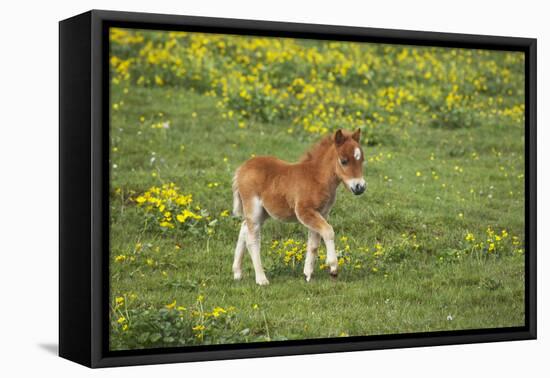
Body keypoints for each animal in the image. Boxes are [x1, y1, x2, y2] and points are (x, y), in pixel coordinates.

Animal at [232, 128, 366, 284]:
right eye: (344, 161)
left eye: (362, 160)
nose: (360, 187)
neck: (316, 177)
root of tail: (242, 168)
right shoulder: (304, 211)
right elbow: (328, 231)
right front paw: (333, 267)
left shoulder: (321, 213)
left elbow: (314, 243)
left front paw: (308, 273)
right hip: (254, 208)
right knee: (252, 240)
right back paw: (261, 279)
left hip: (263, 212)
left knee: (244, 228)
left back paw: (237, 273)